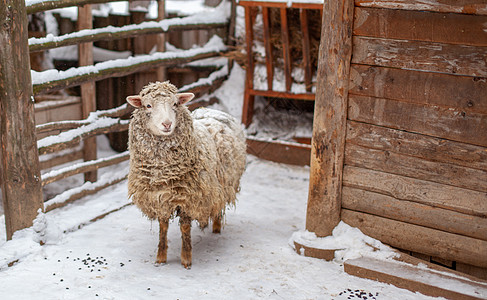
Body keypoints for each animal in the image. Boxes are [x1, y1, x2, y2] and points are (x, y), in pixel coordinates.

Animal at [127, 81, 248, 268]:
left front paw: (186, 259)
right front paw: (161, 257)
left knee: (219, 204)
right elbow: (163, 227)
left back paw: (216, 228)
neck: (164, 172)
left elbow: (184, 227)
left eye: (175, 103)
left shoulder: (188, 197)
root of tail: (214, 110)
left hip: (221, 183)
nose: (167, 124)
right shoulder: (160, 198)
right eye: (148, 105)